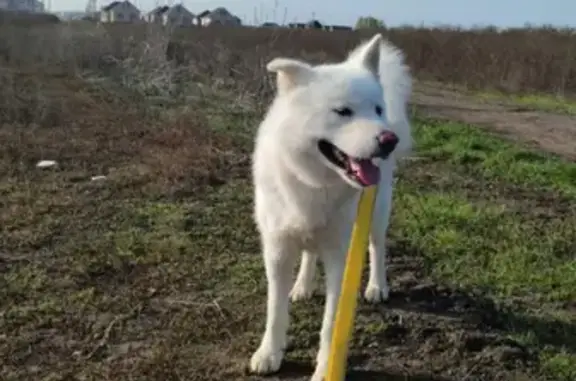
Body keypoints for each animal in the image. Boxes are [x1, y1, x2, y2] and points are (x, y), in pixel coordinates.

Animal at [250, 34, 412, 378]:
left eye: (377, 109)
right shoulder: (277, 250)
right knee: (310, 253)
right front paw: (269, 353)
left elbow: (331, 323)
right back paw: (302, 285)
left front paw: (326, 368)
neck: (316, 184)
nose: (388, 140)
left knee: (377, 247)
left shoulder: (342, 256)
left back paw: (377, 286)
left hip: (377, 216)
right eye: (343, 111)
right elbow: (275, 310)